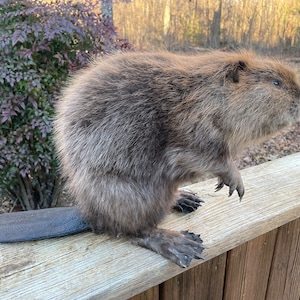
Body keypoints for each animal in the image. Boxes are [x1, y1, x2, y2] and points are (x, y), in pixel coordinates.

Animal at [0, 50, 300, 268]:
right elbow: (202, 156)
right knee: (133, 231)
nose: (299, 100)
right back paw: (181, 244)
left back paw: (186, 199)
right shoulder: (190, 123)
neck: (207, 94)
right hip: (134, 195)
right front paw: (235, 181)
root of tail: (86, 214)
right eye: (275, 83)